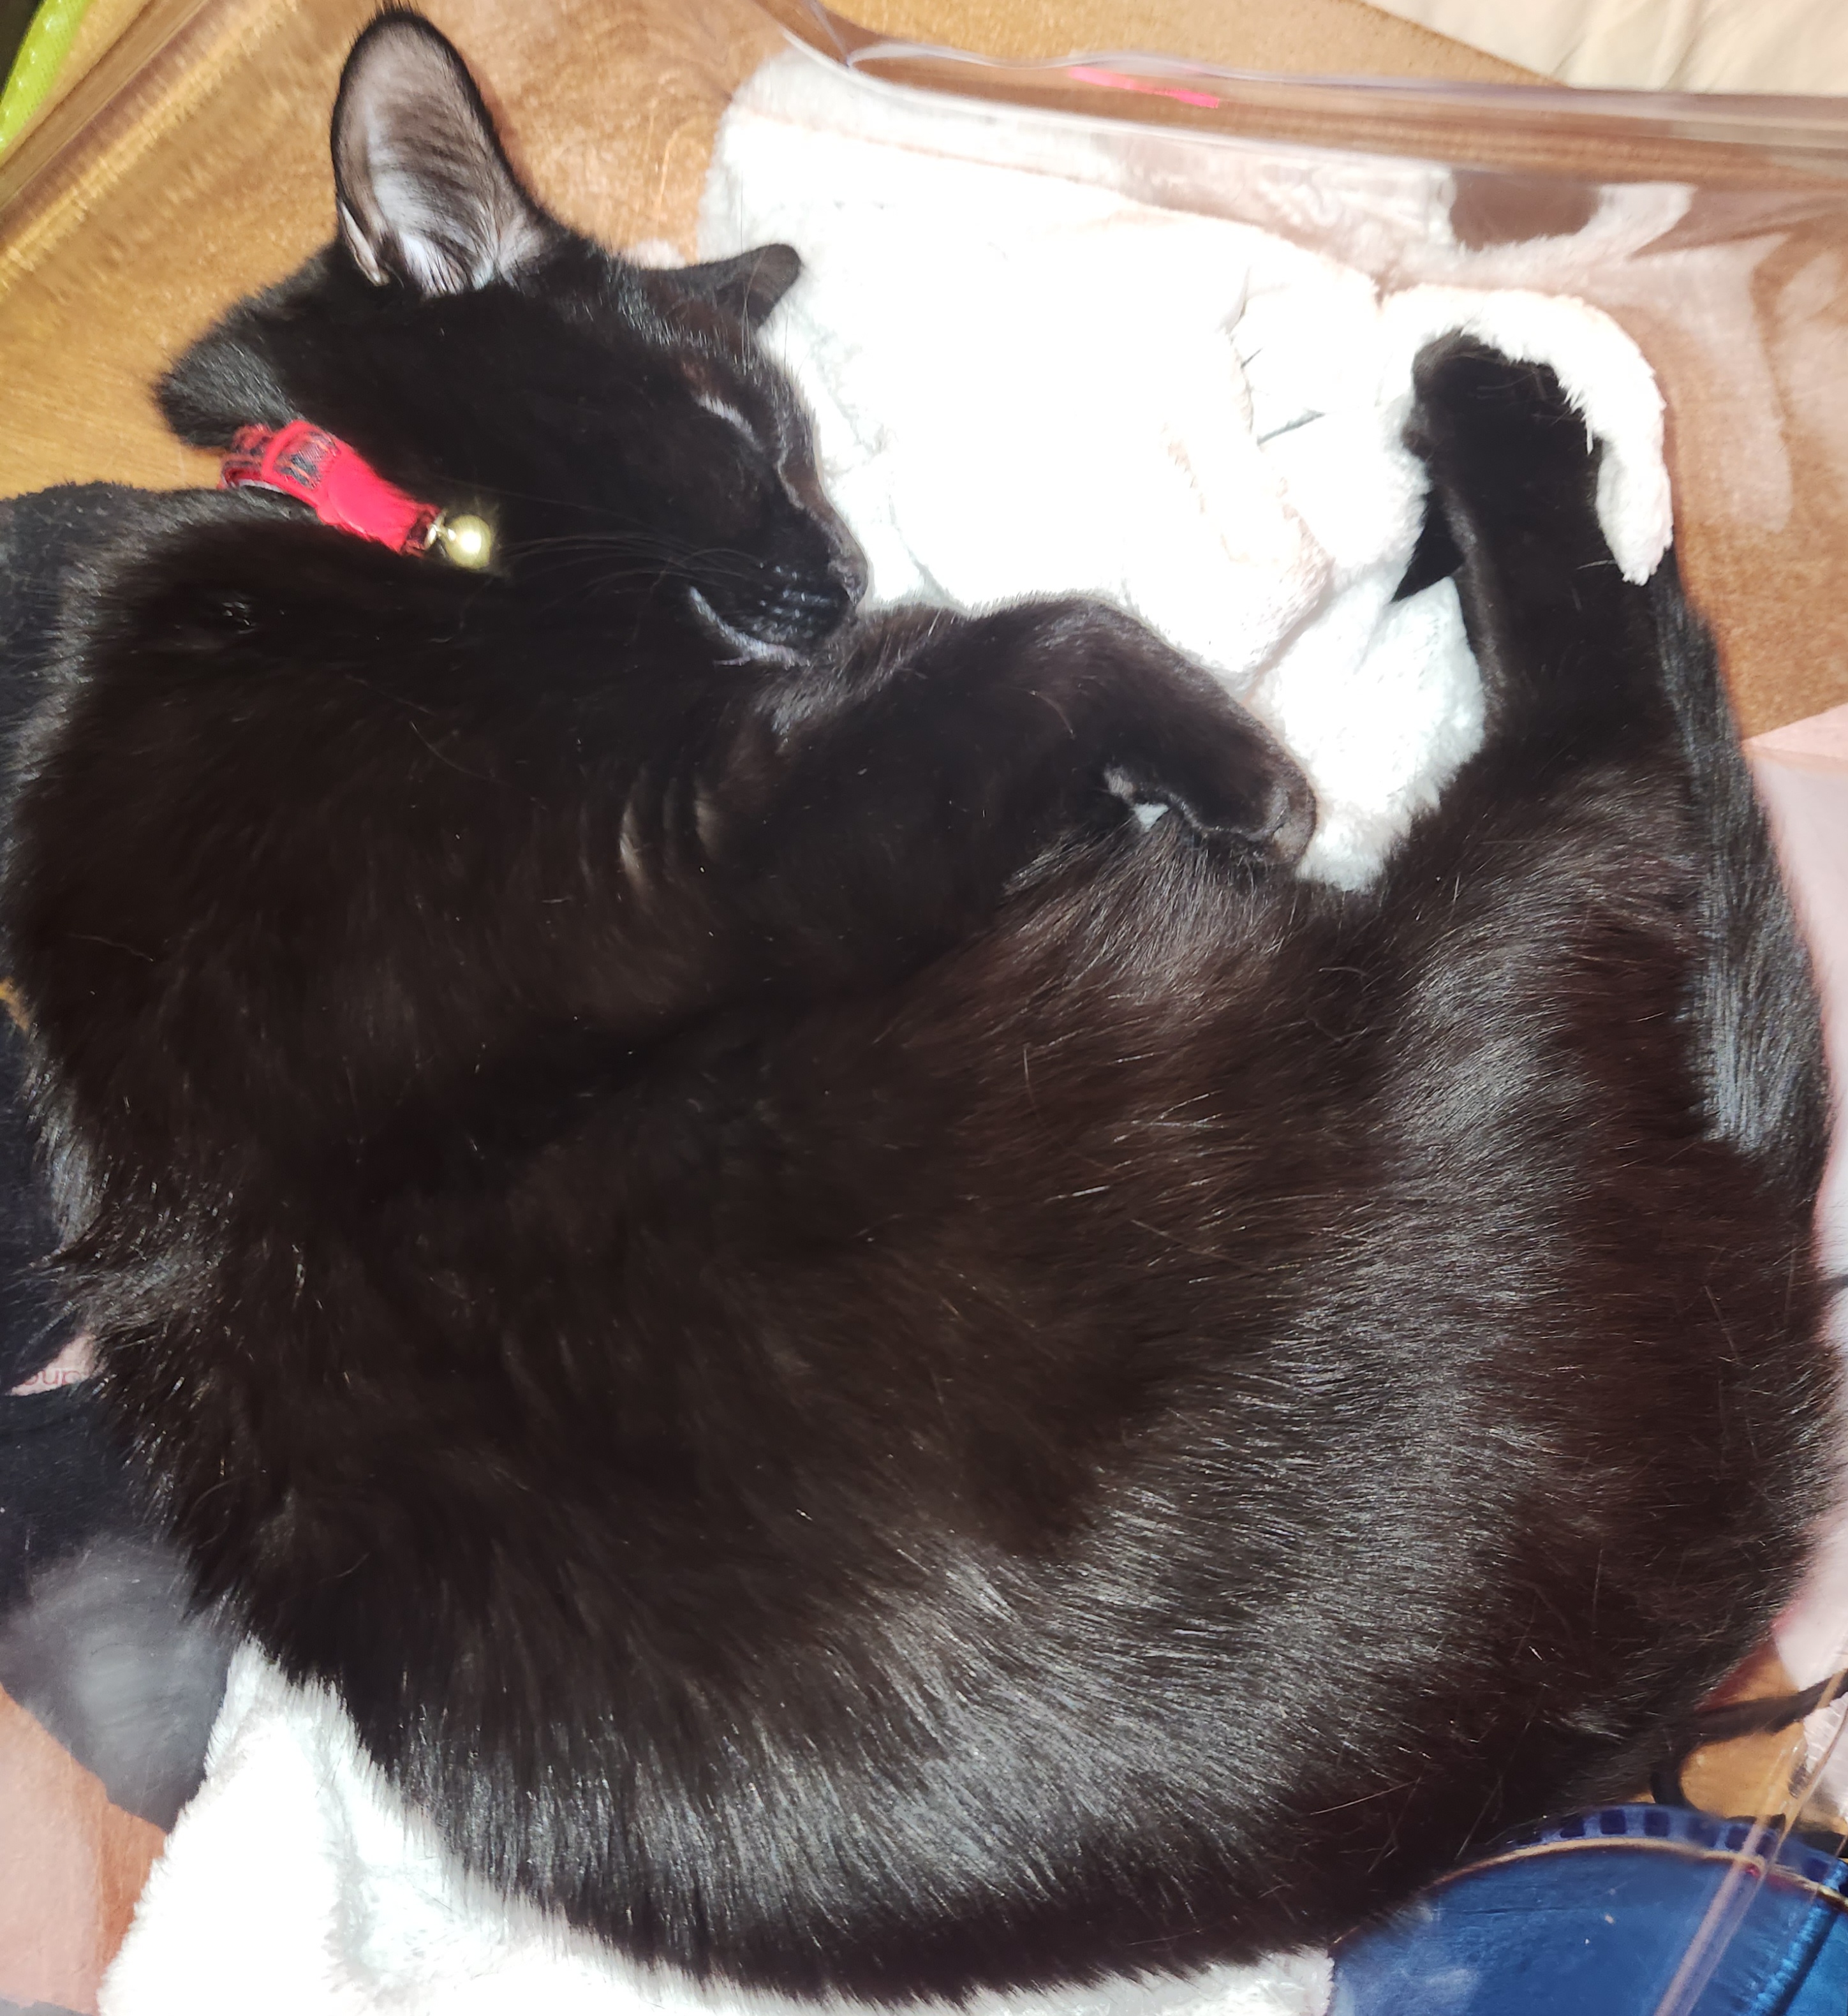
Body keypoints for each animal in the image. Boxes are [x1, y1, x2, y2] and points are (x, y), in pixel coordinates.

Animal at [0, 9, 1833, 2002]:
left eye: (799, 443)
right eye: (740, 430)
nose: (840, 574)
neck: (387, 535)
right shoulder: (708, 848)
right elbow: (1040, 637)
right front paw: (1225, 767)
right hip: (1506, 909)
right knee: (1600, 709)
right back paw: (1489, 411)